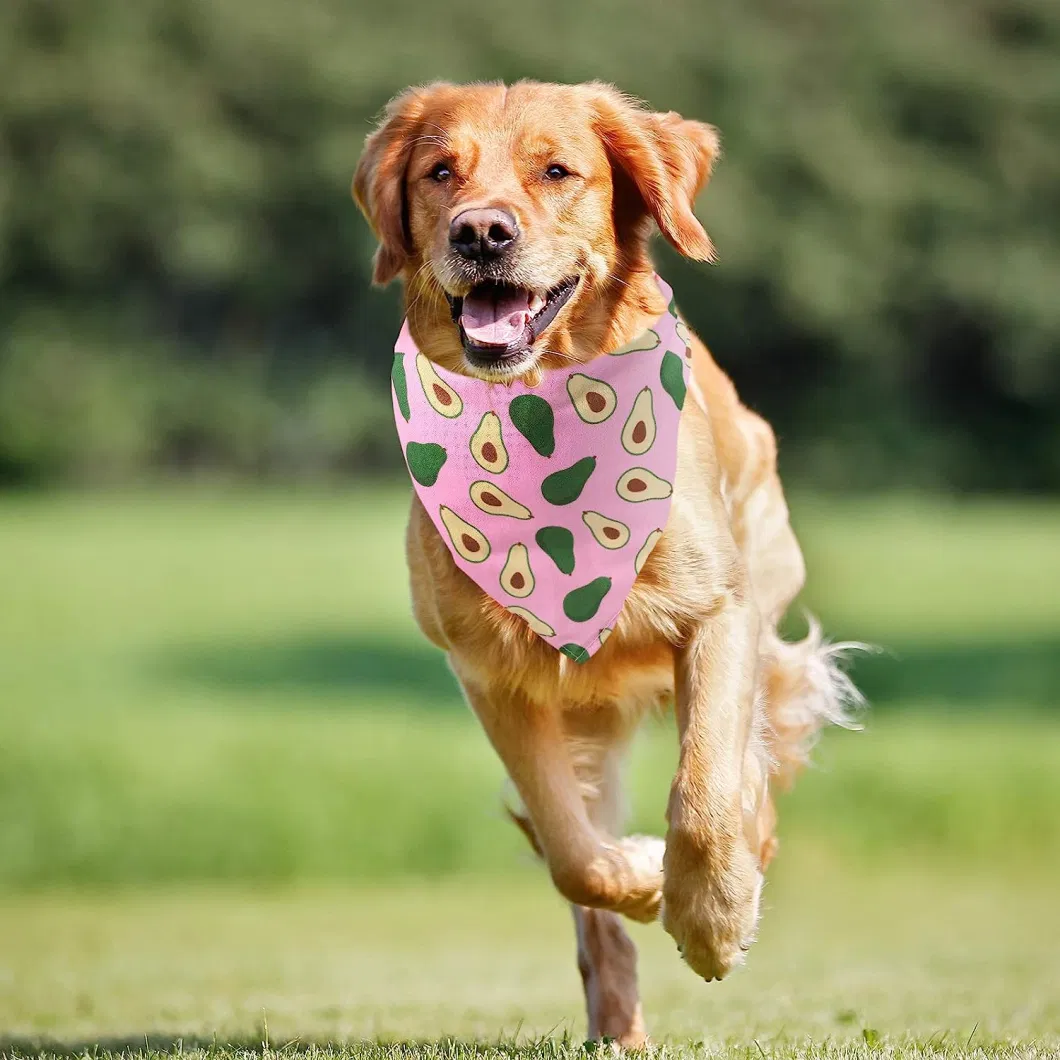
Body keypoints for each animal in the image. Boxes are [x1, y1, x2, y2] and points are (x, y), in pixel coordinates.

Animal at [351, 80, 856, 1043]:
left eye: (557, 171)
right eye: (441, 173)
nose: (480, 234)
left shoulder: (719, 615)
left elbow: (706, 795)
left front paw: (711, 918)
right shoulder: (489, 669)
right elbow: (569, 850)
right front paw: (643, 878)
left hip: (765, 600)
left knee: (755, 774)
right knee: (587, 880)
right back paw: (618, 1012)